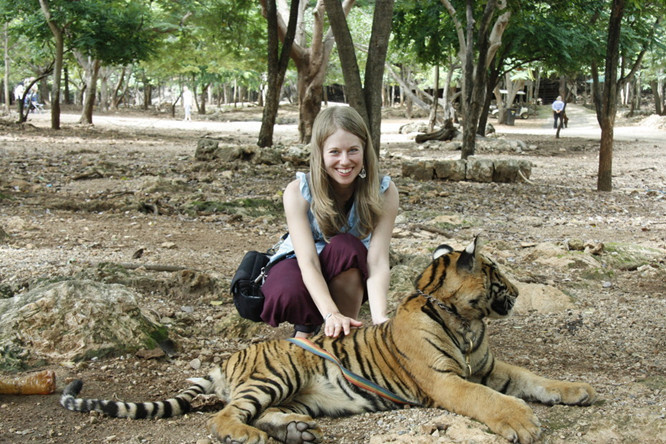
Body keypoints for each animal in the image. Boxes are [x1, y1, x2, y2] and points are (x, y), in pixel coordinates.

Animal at [59, 238, 592, 442]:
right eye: (497, 274)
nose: (518, 293)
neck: (465, 320)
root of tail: (233, 356)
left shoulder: (490, 368)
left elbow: (535, 378)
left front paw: (577, 391)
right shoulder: (447, 380)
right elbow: (486, 399)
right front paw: (521, 422)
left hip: (301, 393)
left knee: (261, 411)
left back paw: (294, 429)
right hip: (277, 372)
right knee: (226, 416)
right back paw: (250, 434)